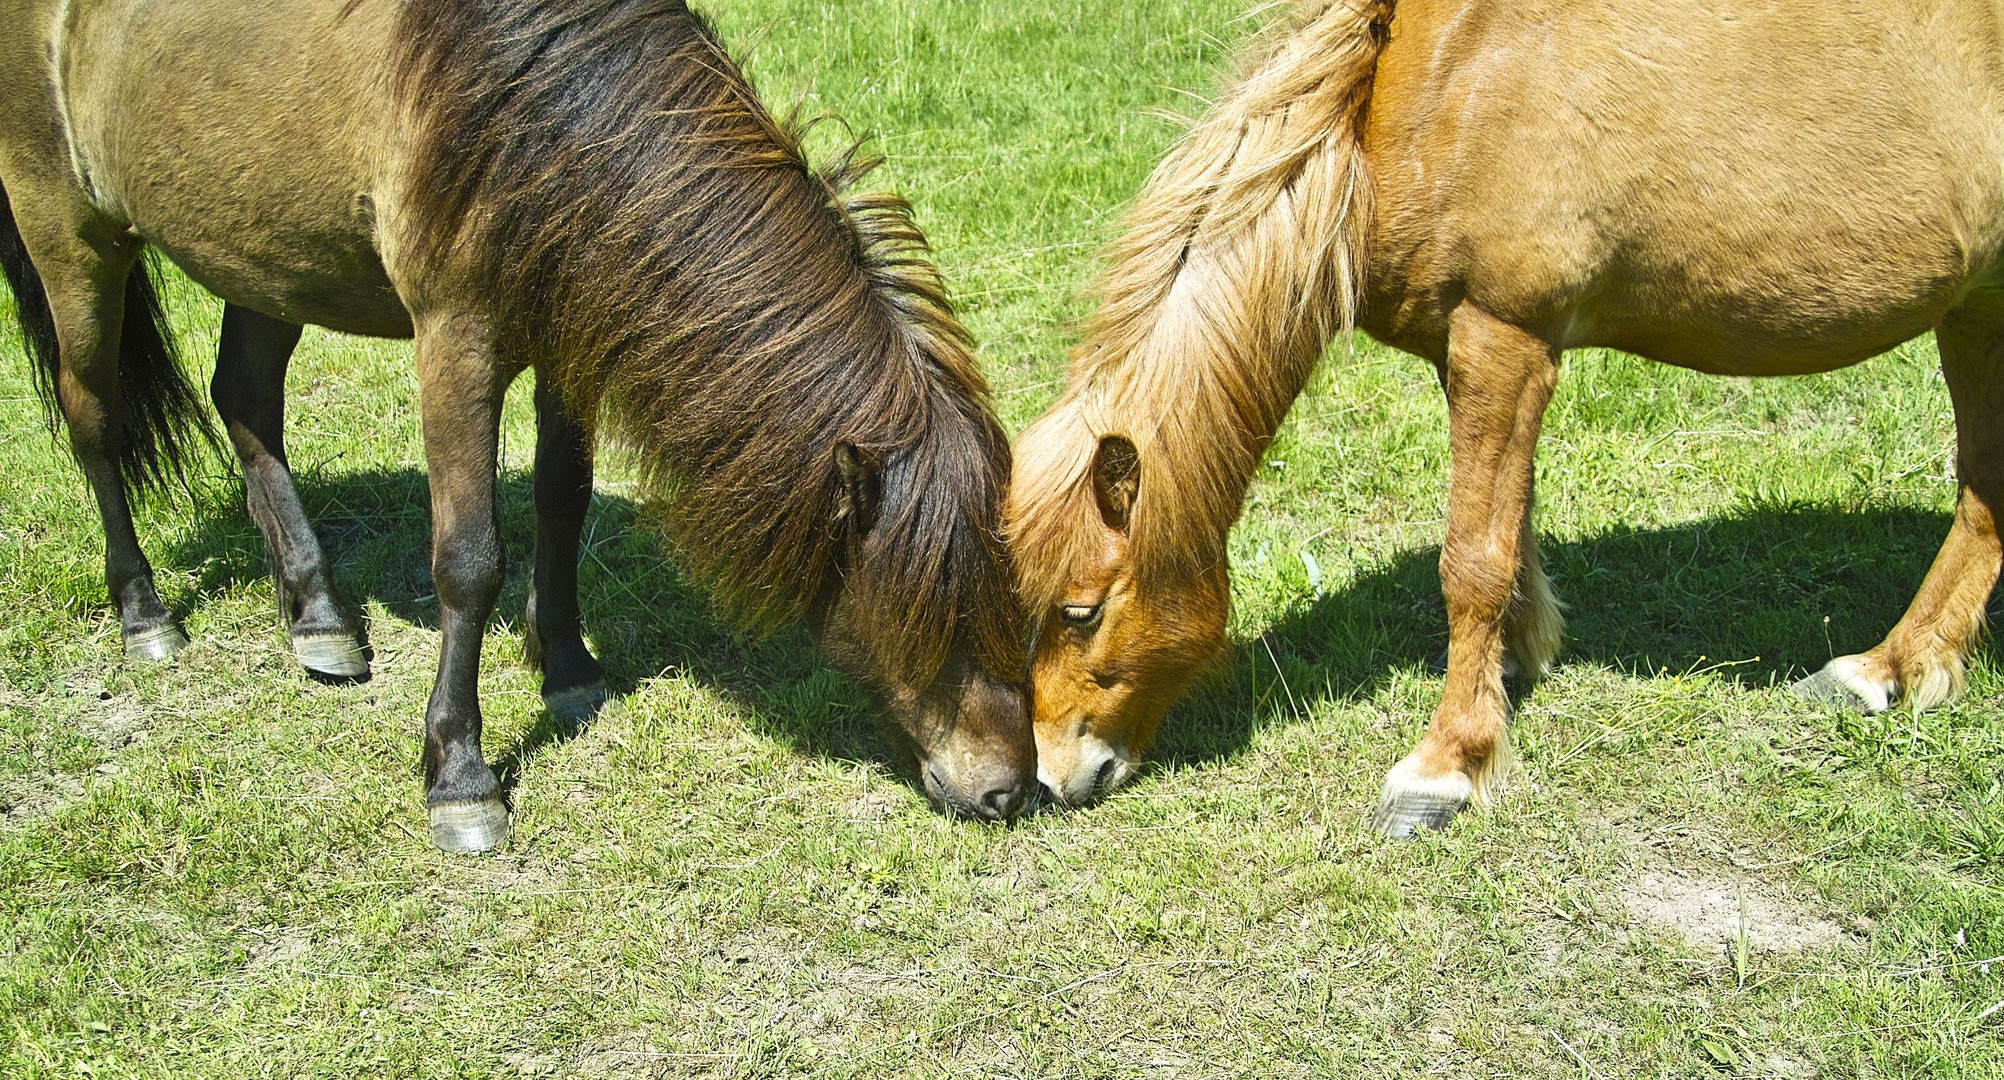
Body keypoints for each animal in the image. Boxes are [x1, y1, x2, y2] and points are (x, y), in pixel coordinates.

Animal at [0, 0, 1034, 853]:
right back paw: (146, 616)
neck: (534, 104)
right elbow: (469, 559)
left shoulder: (568, 336)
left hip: (264, 254)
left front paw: (567, 665)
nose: (1012, 791)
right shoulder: (456, 343)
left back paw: (319, 618)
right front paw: (460, 778)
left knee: (247, 403)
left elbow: (562, 501)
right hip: (73, 235)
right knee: (95, 418)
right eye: (936, 605)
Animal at [1010, 0, 2004, 837]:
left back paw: (1888, 669)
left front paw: (1446, 766)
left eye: (1081, 610)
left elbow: (1472, 561)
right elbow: (1510, 526)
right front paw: (1516, 665)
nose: (1052, 779)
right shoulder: (1474, 353)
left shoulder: (1503, 340)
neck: (1431, 93)